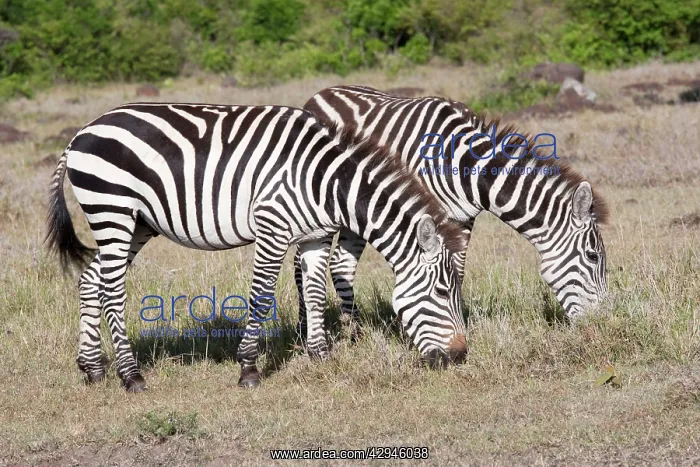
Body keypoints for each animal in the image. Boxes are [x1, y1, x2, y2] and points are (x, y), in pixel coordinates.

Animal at [46, 103, 470, 392]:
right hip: (112, 210)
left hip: (137, 222)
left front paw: (320, 355)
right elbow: (262, 296)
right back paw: (131, 376)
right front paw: (248, 368)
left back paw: (92, 368)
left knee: (90, 280)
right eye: (441, 292)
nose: (460, 356)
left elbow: (315, 293)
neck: (325, 182)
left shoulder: (316, 235)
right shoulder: (272, 228)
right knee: (111, 290)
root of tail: (81, 133)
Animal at [296, 85, 609, 343]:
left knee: (340, 265)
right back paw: (304, 330)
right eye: (593, 256)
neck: (464, 164)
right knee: (302, 266)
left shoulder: (463, 219)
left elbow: (456, 271)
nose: (603, 321)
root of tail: (322, 92)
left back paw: (354, 330)